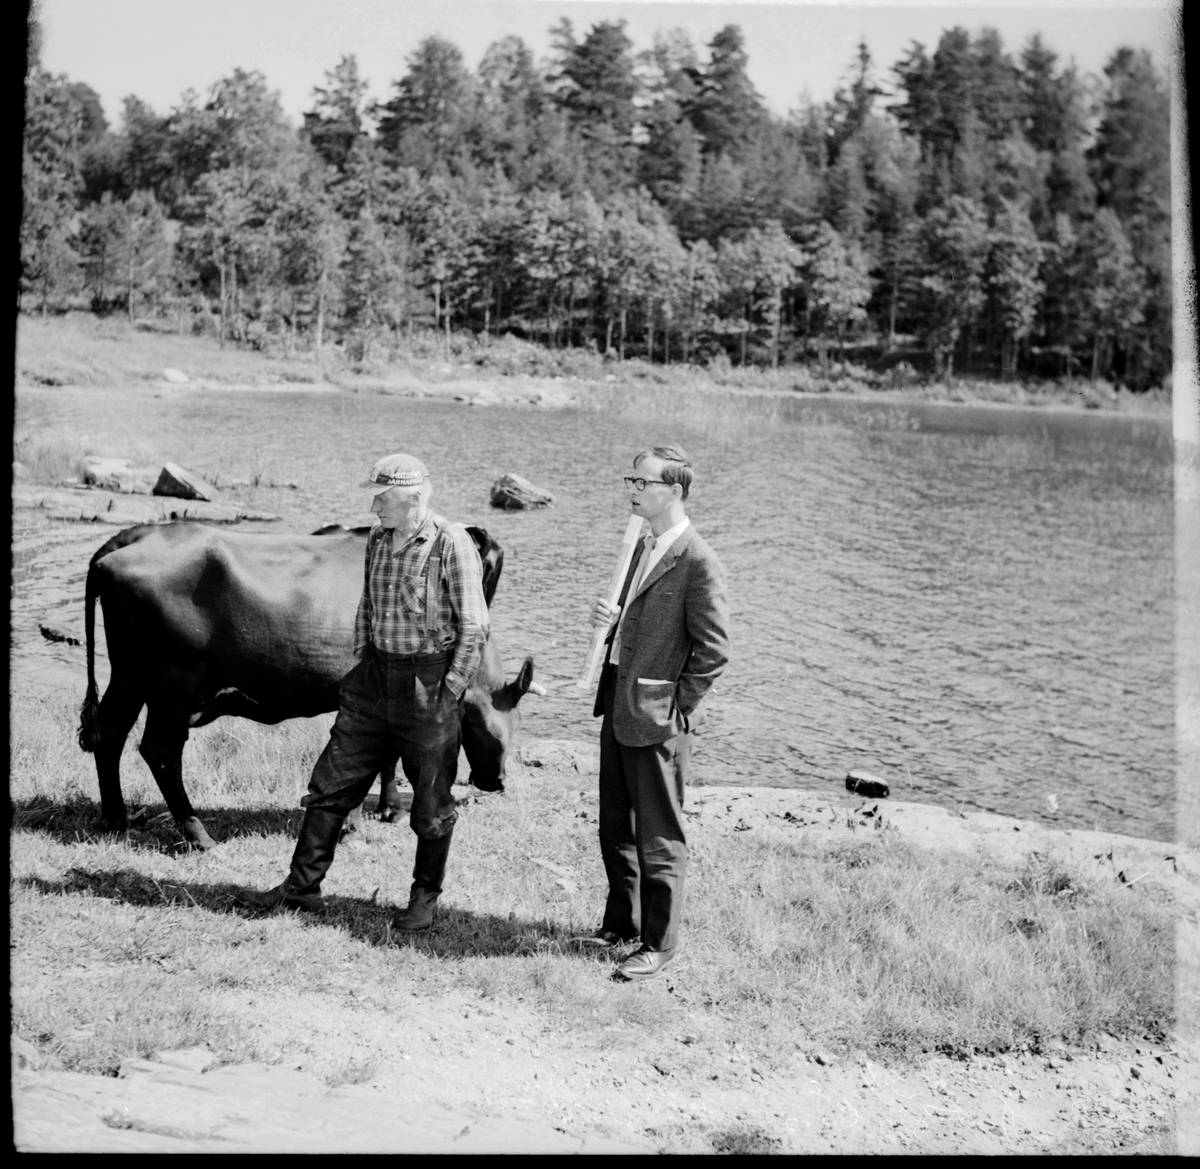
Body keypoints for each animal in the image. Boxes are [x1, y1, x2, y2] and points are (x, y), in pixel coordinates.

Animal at [78, 522, 537, 851]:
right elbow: (371, 760)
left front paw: (382, 809)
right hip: (173, 685)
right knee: (160, 751)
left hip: (129, 676)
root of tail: (134, 535)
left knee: (110, 735)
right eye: (506, 728)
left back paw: (117, 819)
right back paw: (198, 836)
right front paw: (355, 823)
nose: (497, 782)